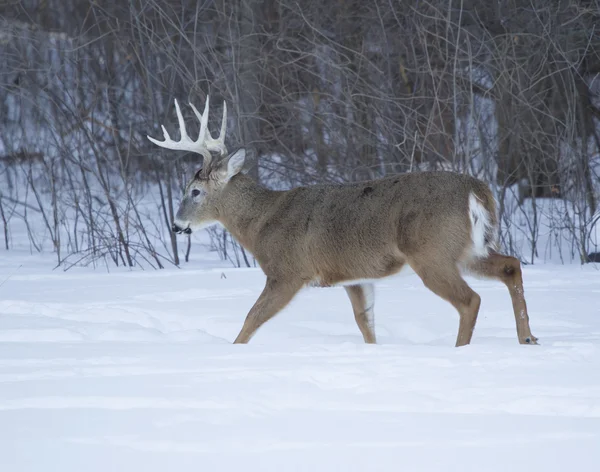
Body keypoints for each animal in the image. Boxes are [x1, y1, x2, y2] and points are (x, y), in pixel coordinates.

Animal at [148, 97, 536, 346]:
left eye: (194, 191)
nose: (175, 224)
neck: (261, 223)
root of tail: (477, 190)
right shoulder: (353, 276)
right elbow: (366, 324)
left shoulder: (288, 271)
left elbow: (251, 318)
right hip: (469, 247)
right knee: (511, 265)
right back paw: (528, 337)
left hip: (432, 251)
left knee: (471, 300)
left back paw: (463, 351)